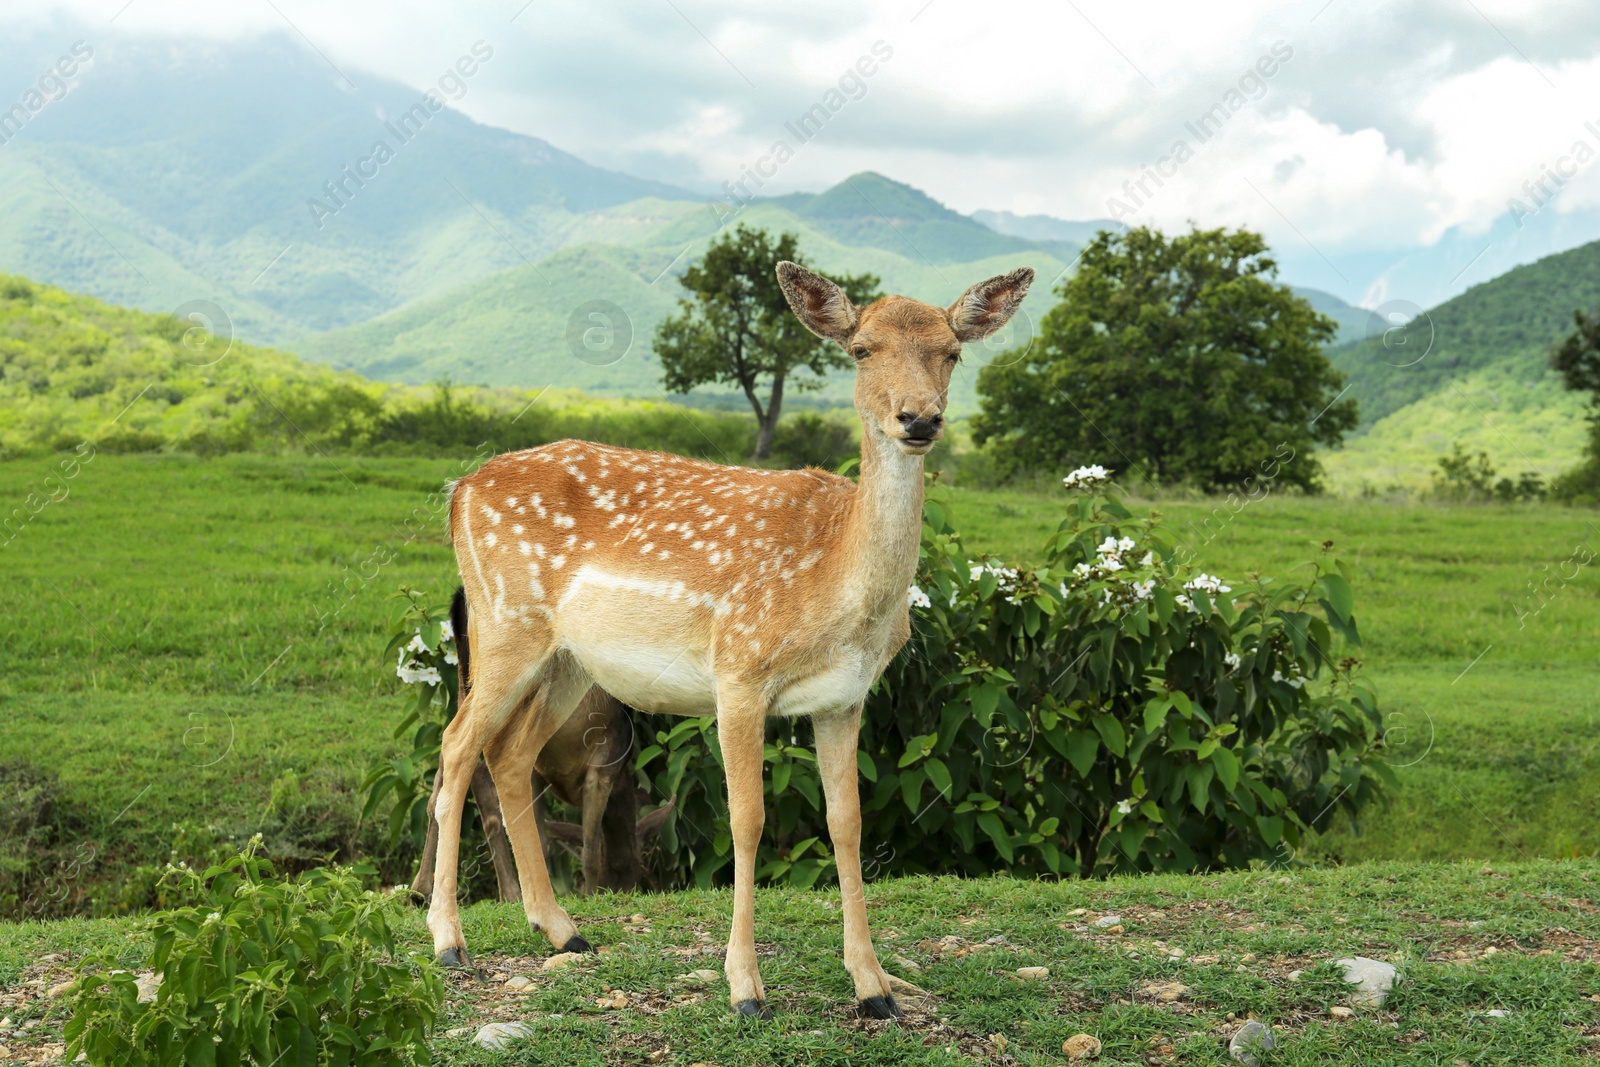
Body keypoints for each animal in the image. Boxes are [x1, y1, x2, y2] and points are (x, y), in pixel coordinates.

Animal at [435, 260, 1036, 1017]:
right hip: (503, 620)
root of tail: (460, 489)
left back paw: (562, 929)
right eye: (861, 349)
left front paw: (873, 988)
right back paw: (448, 941)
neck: (837, 589)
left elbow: (848, 822)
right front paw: (746, 988)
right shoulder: (740, 670)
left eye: (952, 352)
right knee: (458, 746)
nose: (920, 418)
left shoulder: (845, 697)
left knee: (511, 754)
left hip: (569, 660)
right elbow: (747, 819)